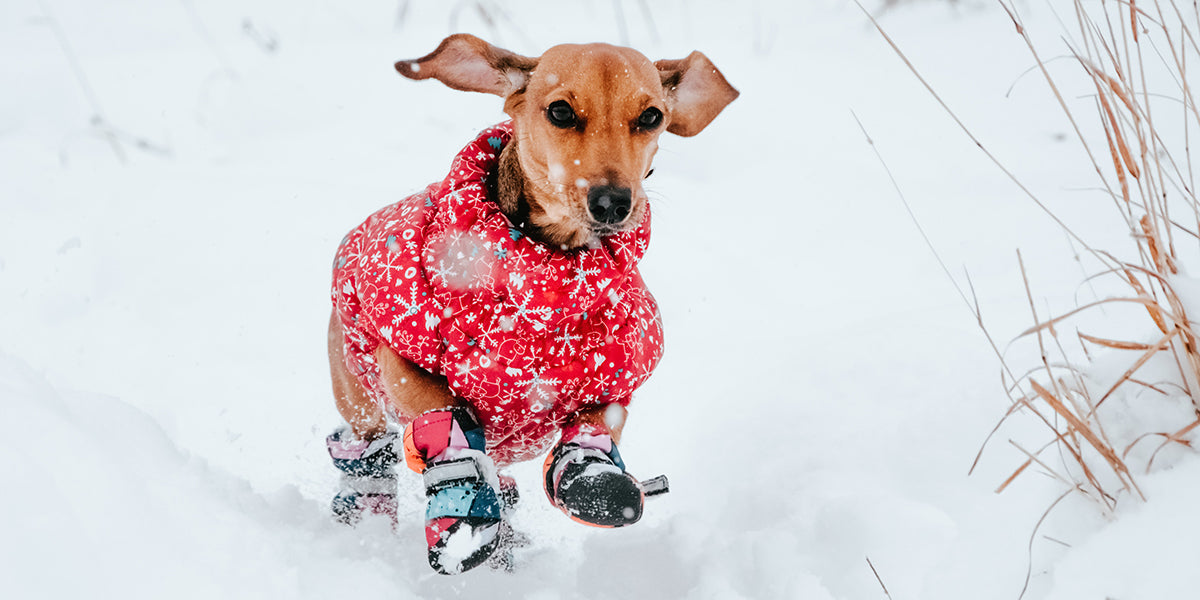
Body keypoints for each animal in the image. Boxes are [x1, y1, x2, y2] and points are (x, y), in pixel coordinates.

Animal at [324, 34, 734, 571]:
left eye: (650, 116)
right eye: (560, 111)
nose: (612, 202)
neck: (544, 290)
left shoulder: (617, 376)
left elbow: (596, 425)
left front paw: (591, 476)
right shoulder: (400, 358)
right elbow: (443, 412)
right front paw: (462, 498)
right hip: (358, 399)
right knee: (369, 457)